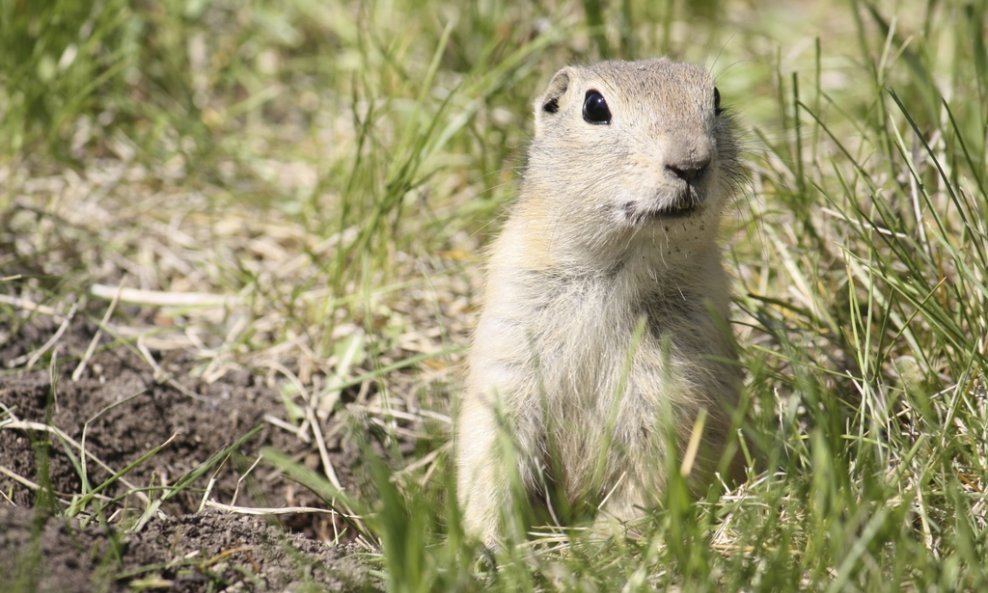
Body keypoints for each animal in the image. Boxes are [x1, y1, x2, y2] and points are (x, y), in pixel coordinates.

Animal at [460, 57, 744, 544]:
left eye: (716, 98)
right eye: (594, 106)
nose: (691, 163)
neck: (616, 270)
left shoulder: (675, 383)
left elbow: (657, 466)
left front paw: (596, 544)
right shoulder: (510, 342)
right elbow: (491, 442)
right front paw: (488, 543)